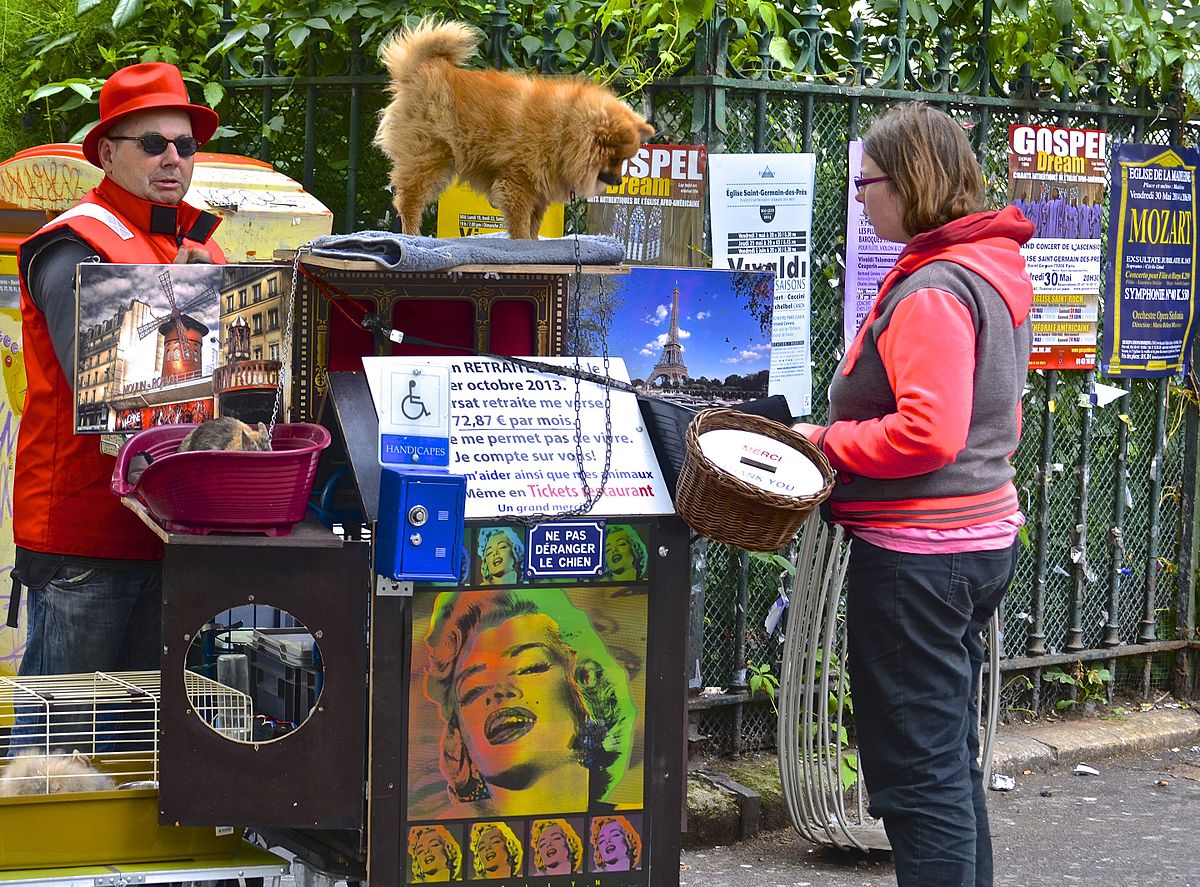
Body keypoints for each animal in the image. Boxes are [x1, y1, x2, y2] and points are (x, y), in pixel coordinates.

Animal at [374, 20, 657, 241]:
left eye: (624, 160)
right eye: (615, 159)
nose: (618, 181)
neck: (565, 129)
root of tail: (418, 70)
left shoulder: (540, 187)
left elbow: (534, 221)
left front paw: (533, 241)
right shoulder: (518, 182)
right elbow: (521, 220)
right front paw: (522, 241)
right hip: (427, 158)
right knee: (407, 201)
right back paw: (412, 234)